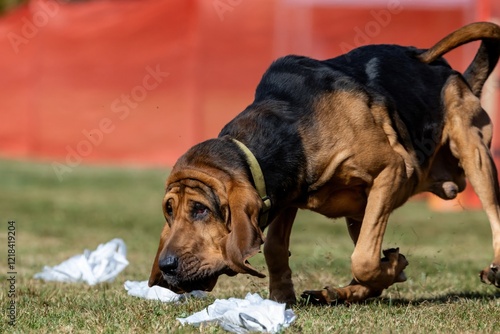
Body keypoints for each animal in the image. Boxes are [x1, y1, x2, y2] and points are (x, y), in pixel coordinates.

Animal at [148, 22, 500, 306]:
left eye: (200, 210)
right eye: (169, 211)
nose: (166, 266)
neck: (291, 130)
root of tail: (454, 73)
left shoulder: (391, 170)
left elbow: (364, 260)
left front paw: (392, 267)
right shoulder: (284, 196)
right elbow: (275, 248)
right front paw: (282, 298)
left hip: (474, 152)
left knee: (493, 212)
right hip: (360, 211)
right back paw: (338, 293)